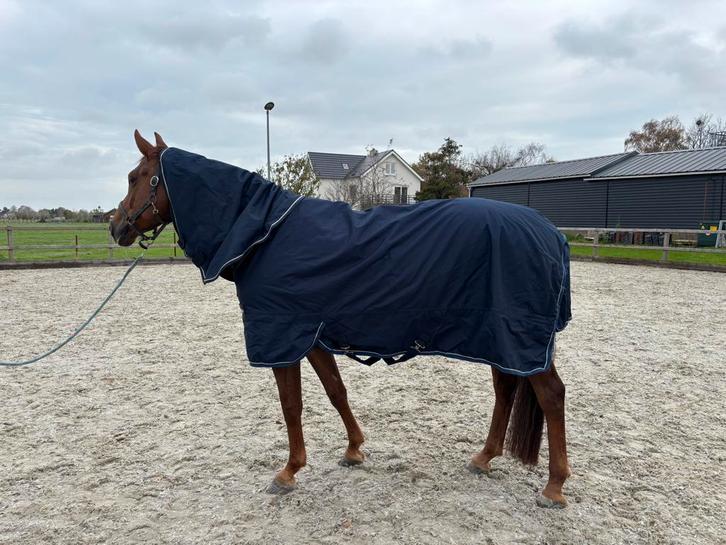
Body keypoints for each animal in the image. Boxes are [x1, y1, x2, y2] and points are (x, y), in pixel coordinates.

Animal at [110, 130, 572, 508]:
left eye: (135, 177)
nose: (116, 227)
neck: (266, 235)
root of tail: (551, 233)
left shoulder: (283, 338)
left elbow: (291, 405)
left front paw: (288, 472)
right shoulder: (313, 336)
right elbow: (336, 391)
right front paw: (353, 450)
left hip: (518, 339)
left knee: (551, 396)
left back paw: (553, 487)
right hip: (499, 339)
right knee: (505, 390)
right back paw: (484, 457)